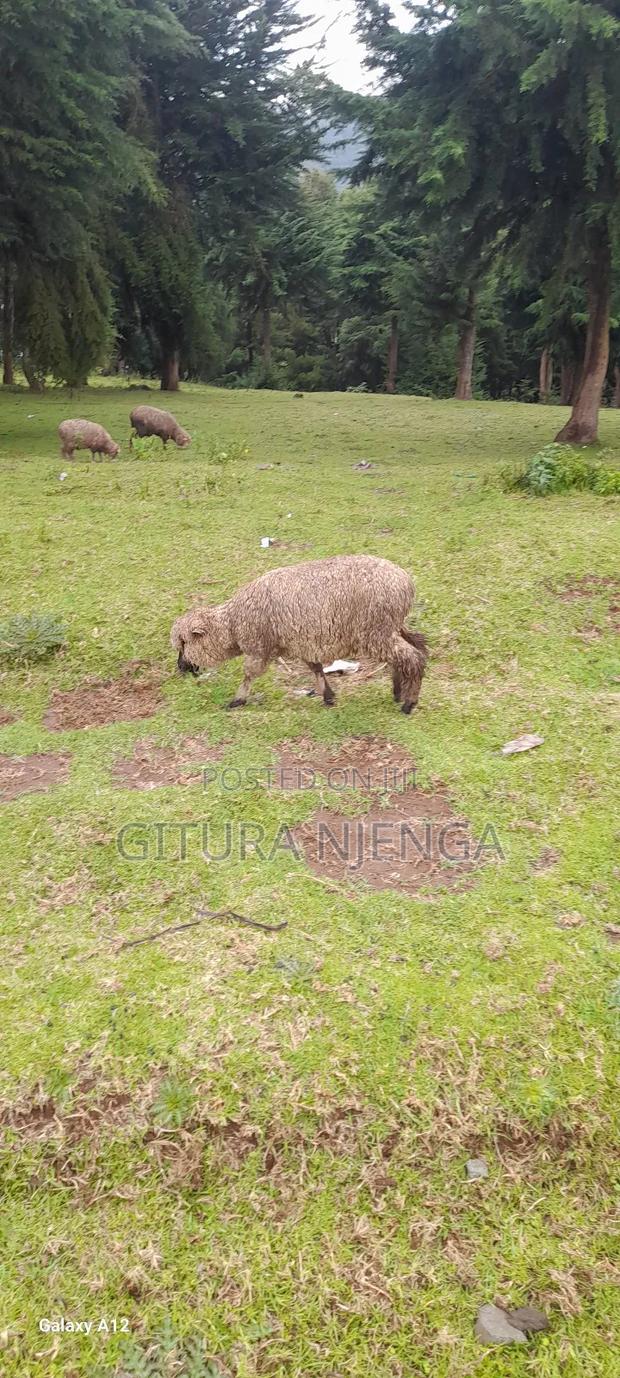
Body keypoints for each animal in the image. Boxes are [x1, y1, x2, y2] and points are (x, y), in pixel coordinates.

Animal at [171, 555, 428, 714]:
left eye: (184, 642)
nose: (181, 668)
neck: (233, 625)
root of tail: (406, 582)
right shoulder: (302, 641)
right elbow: (316, 668)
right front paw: (328, 696)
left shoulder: (259, 647)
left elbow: (249, 675)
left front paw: (237, 700)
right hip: (390, 626)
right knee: (415, 647)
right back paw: (398, 692)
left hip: (376, 631)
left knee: (413, 657)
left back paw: (408, 704)